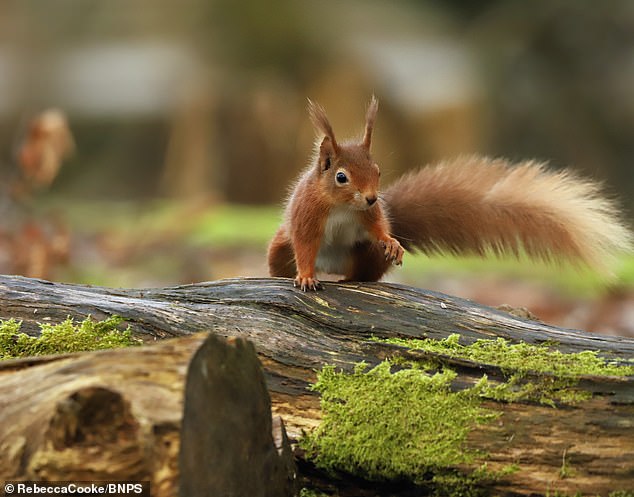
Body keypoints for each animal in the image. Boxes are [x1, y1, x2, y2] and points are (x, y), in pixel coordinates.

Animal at [266, 96, 628, 290]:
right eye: (341, 177)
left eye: (378, 171)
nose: (371, 197)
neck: (342, 207)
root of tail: (334, 266)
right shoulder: (308, 215)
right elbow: (305, 245)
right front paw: (306, 276)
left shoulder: (368, 216)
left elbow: (379, 228)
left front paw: (392, 242)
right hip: (279, 249)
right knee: (283, 259)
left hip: (363, 253)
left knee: (366, 272)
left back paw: (355, 280)